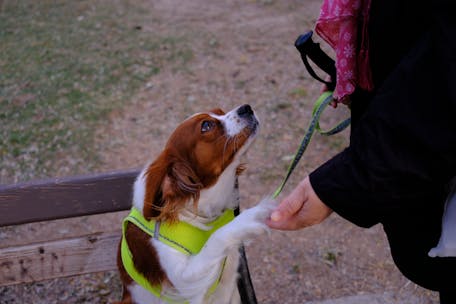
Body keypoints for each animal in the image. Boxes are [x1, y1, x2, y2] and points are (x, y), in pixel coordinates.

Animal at [117, 105, 274, 304]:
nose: (246, 107)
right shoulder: (184, 281)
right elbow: (215, 238)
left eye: (220, 111)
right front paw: (249, 218)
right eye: (206, 125)